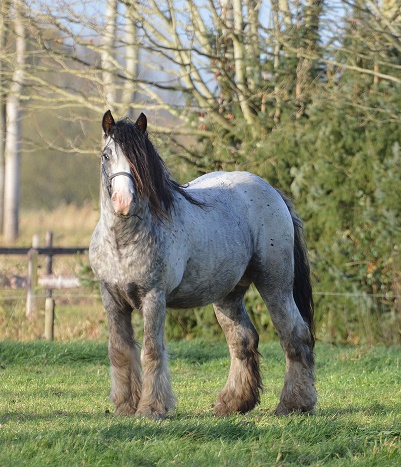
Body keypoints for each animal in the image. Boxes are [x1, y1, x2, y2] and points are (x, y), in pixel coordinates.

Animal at [89, 110, 318, 420]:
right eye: (106, 155)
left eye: (140, 158)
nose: (123, 202)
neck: (124, 242)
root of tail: (272, 191)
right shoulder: (111, 298)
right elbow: (120, 350)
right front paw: (125, 407)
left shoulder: (154, 298)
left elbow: (151, 350)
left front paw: (151, 408)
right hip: (228, 296)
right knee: (243, 340)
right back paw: (233, 403)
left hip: (276, 286)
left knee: (295, 335)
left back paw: (294, 403)